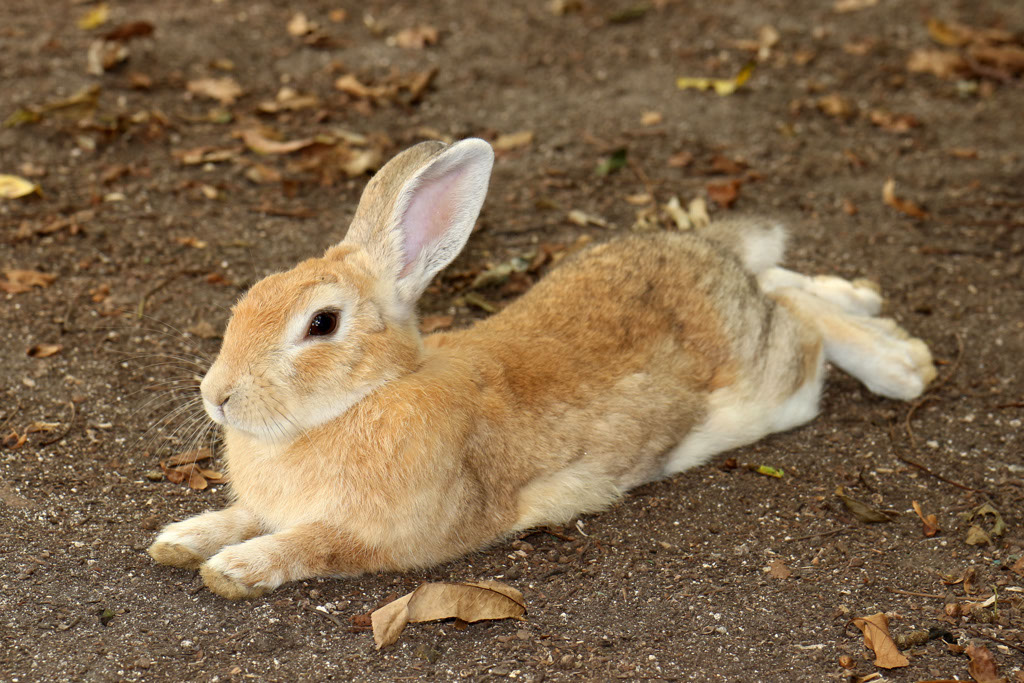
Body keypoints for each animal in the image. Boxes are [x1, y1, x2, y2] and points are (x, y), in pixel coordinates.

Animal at [148, 138, 937, 599]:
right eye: (252, 296)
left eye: (321, 324)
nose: (217, 397)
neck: (370, 394)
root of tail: (708, 255)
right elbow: (241, 515)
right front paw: (182, 538)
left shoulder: (384, 537)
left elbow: (308, 544)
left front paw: (234, 569)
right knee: (781, 282)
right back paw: (870, 307)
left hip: (775, 386)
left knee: (800, 327)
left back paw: (900, 362)